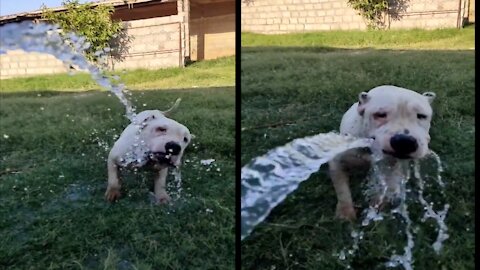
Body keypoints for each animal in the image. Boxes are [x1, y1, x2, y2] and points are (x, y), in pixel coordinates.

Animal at [330, 85, 436, 220]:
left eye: (422, 116)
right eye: (380, 115)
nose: (404, 141)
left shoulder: (391, 166)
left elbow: (387, 183)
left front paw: (378, 202)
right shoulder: (337, 162)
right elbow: (342, 189)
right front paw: (345, 213)